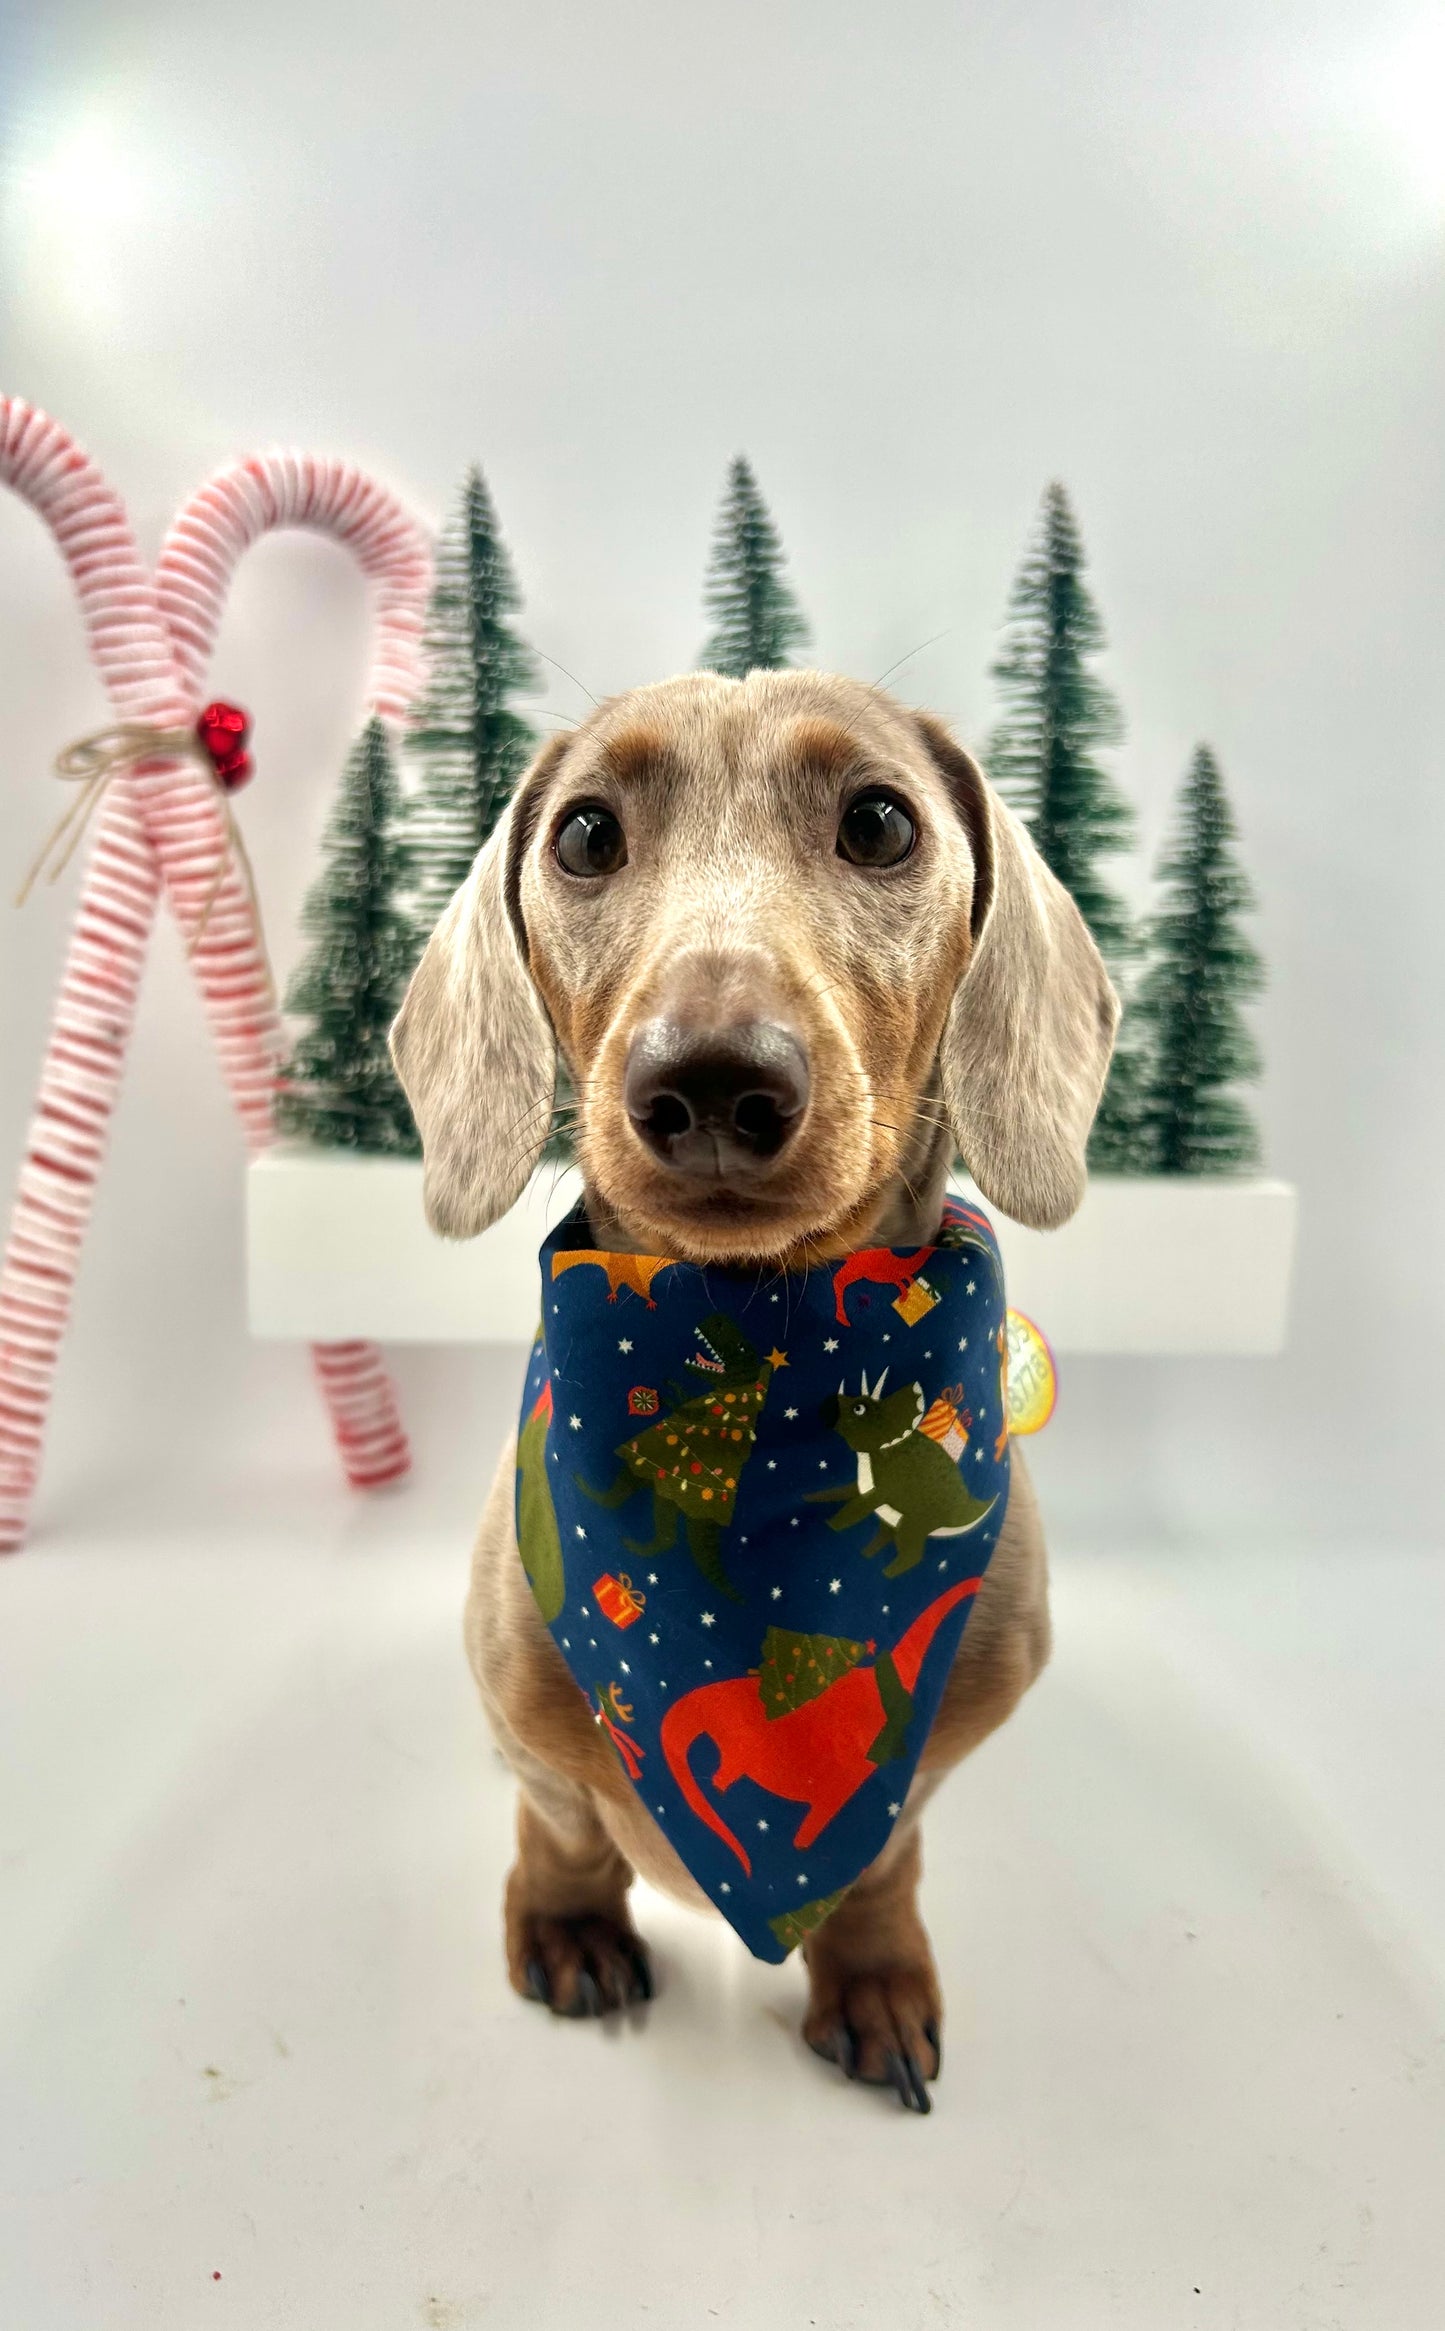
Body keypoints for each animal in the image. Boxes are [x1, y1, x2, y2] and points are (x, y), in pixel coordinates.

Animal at [391, 671, 1118, 2116]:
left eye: (881, 821)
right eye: (584, 833)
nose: (714, 1079)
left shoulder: (926, 1753)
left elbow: (882, 1857)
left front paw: (874, 1974)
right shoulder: (527, 1723)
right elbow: (562, 1824)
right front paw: (568, 1924)